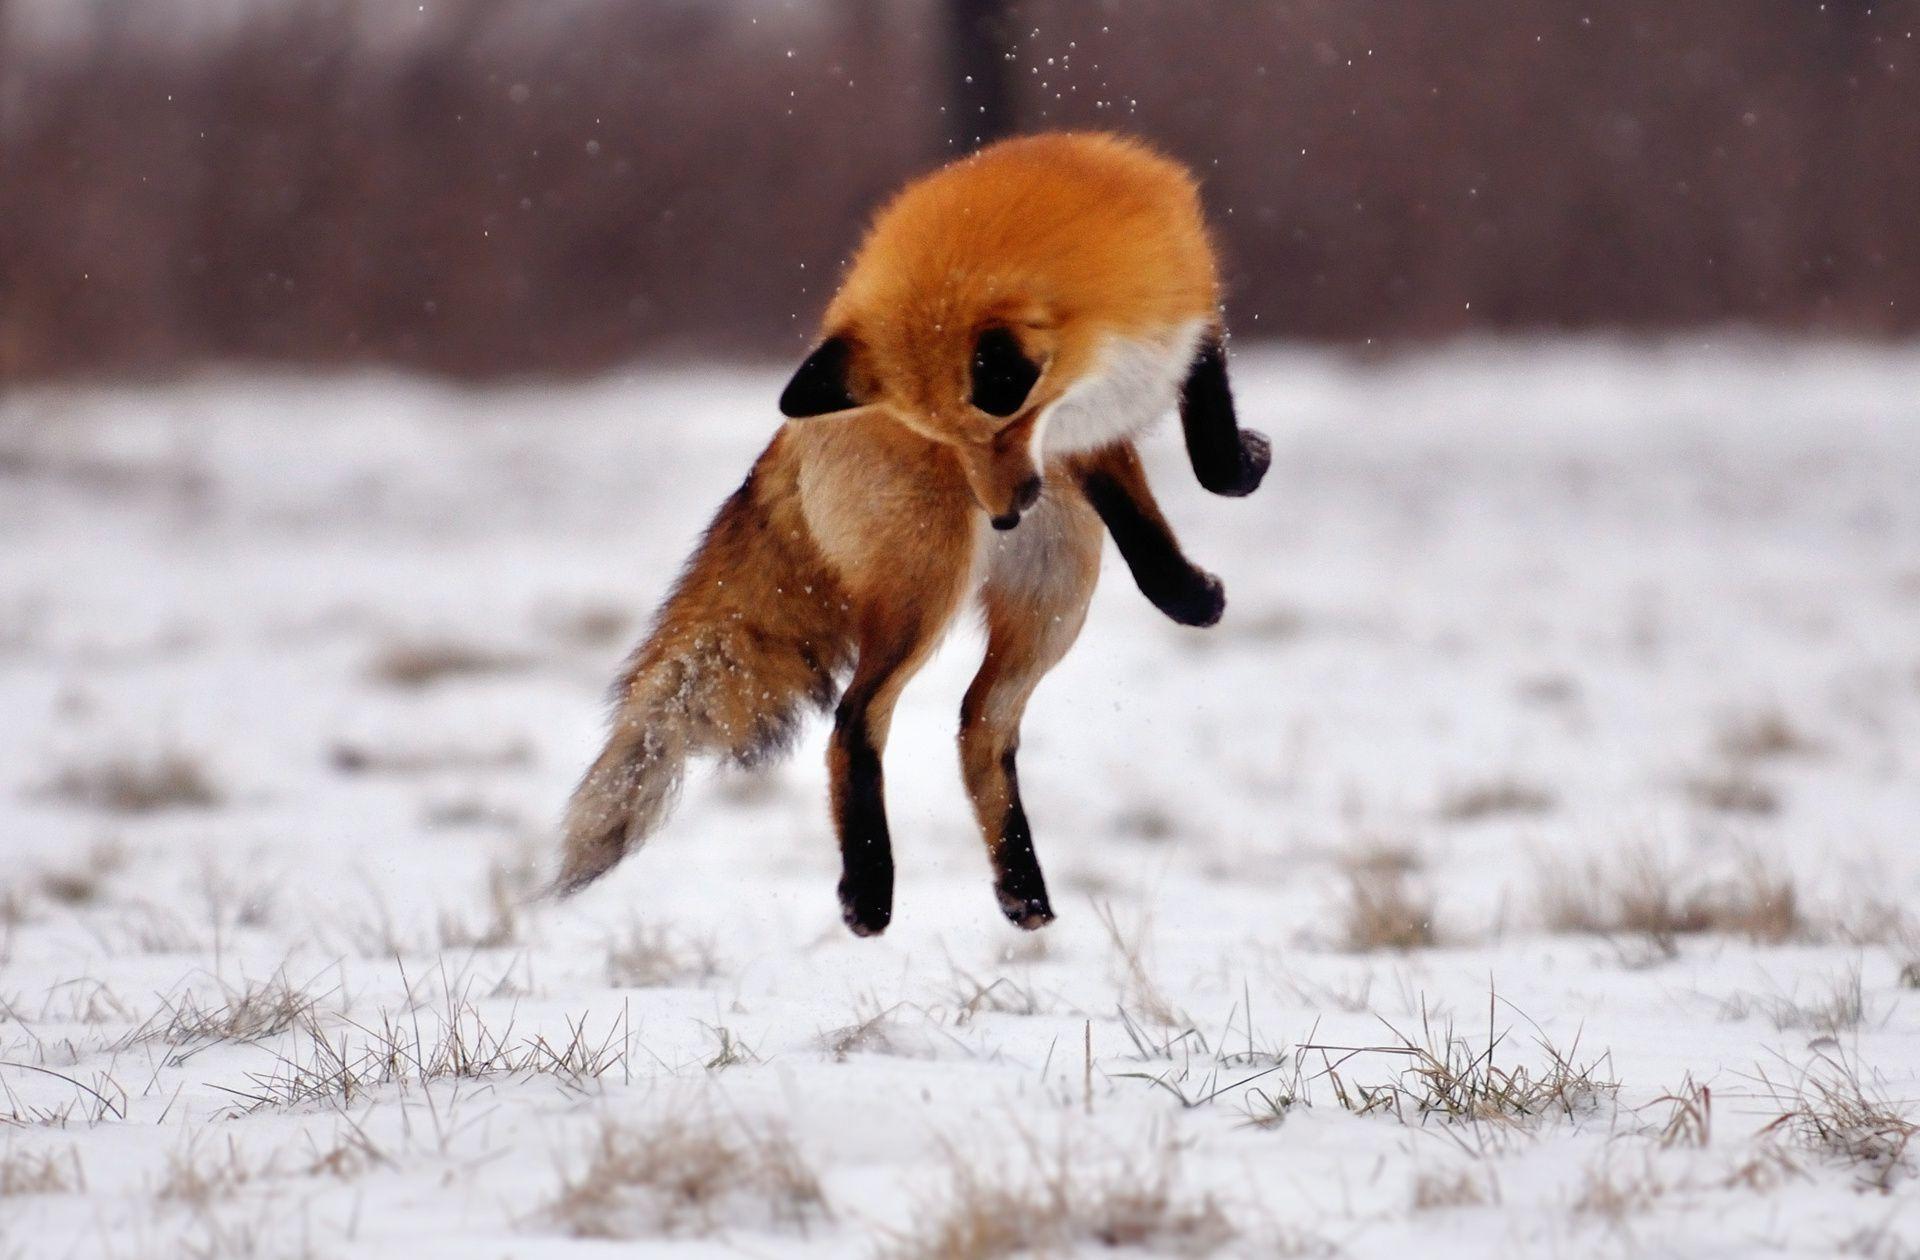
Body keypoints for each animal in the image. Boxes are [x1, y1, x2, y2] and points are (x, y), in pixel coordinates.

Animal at [557, 132, 1269, 935]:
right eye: (948, 439)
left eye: (998, 427)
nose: (1006, 514)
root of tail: (787, 434)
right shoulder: (1097, 418)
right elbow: (1198, 478)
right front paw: (1232, 507)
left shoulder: (1148, 365)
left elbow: (1172, 509)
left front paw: (1194, 585)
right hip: (929, 588)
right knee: (854, 718)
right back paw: (870, 890)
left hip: (1055, 596)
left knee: (978, 725)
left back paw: (1021, 891)